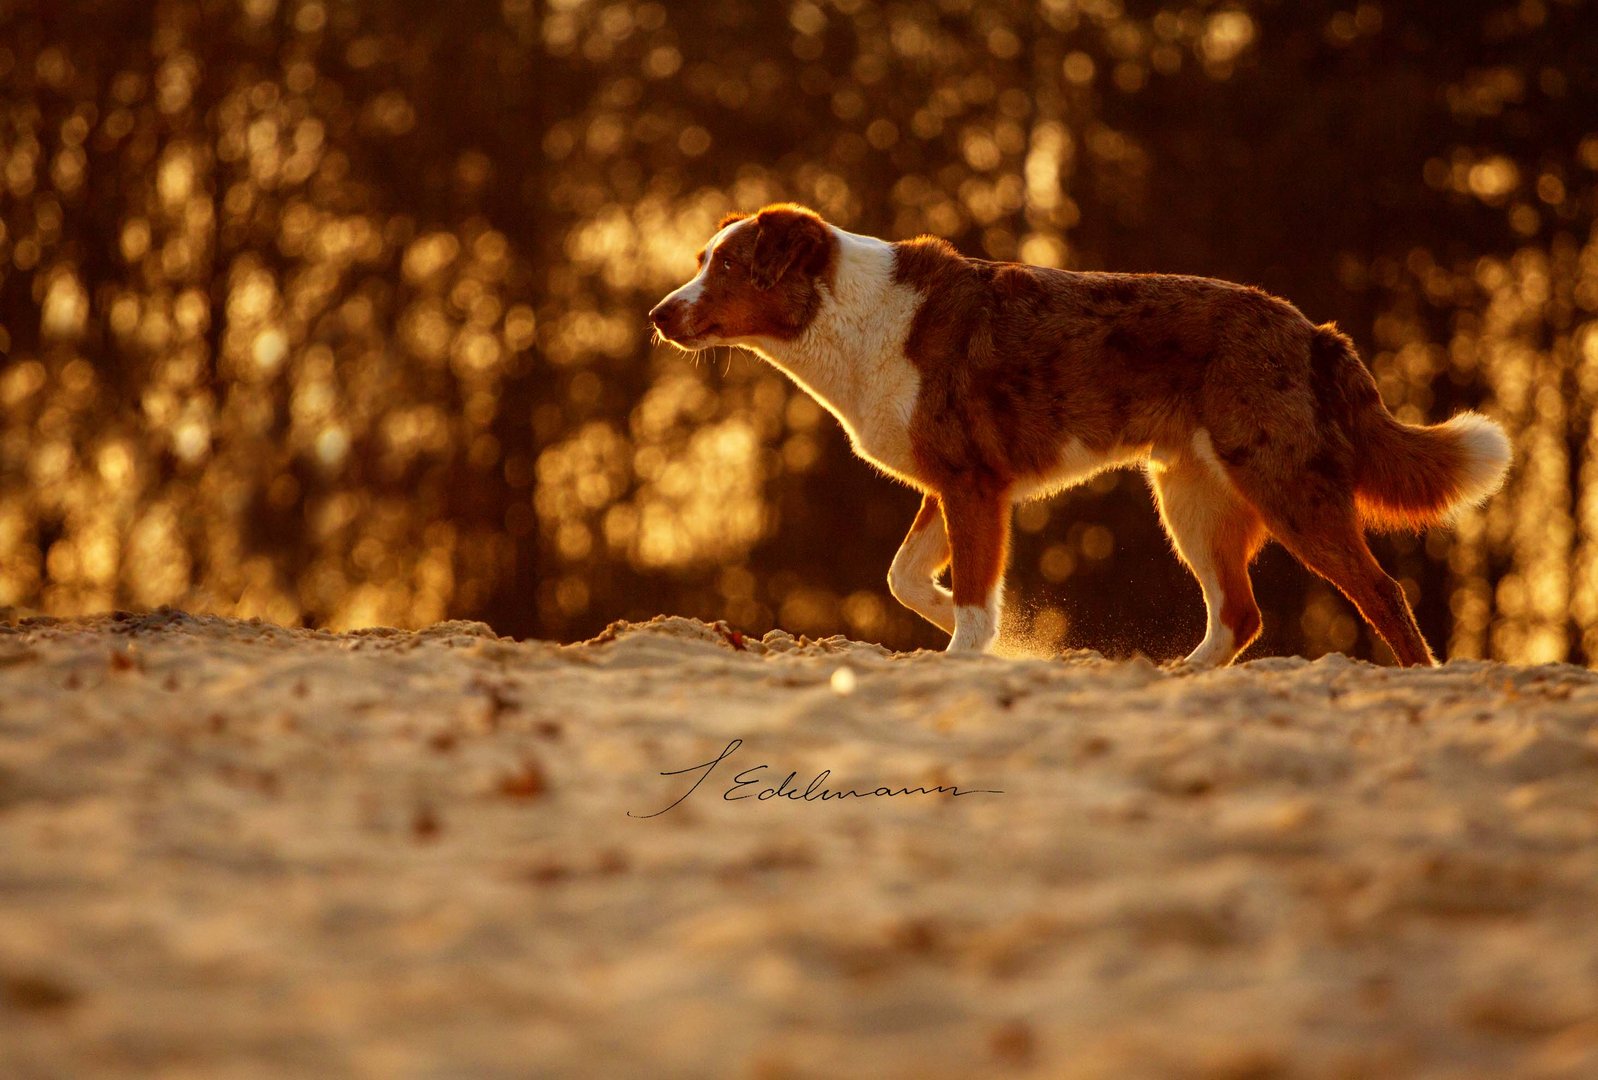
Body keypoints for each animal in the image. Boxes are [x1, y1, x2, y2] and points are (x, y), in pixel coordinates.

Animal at [645, 202, 1508, 667]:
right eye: (702, 261)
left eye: (729, 269)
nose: (657, 315)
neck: (849, 319)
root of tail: (1313, 330)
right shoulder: (951, 486)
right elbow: (906, 579)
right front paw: (1005, 639)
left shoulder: (973, 484)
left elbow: (972, 597)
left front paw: (973, 649)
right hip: (1192, 500)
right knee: (1240, 613)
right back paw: (1178, 677)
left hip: (1285, 487)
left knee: (1379, 590)